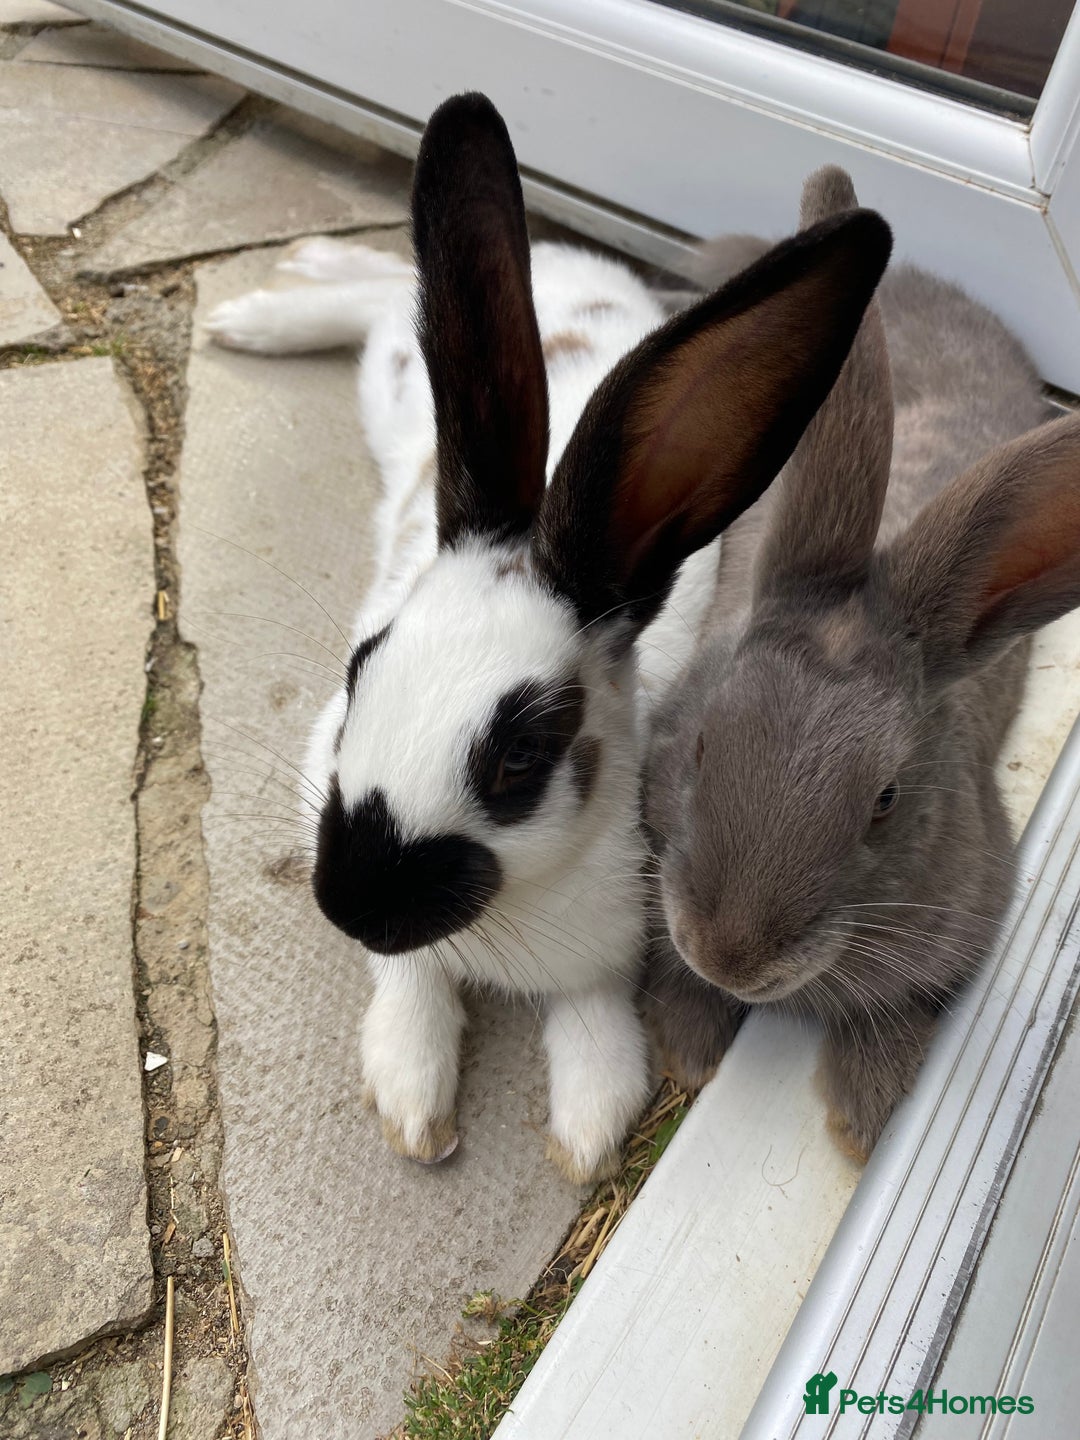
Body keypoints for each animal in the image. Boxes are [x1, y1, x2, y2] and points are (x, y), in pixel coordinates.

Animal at [204, 93, 891, 1183]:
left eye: (521, 756)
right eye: (360, 671)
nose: (350, 903)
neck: (506, 919)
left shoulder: (614, 940)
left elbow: (594, 1020)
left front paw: (590, 1127)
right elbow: (408, 986)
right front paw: (414, 1100)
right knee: (377, 294)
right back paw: (261, 308)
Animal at [643, 163, 1080, 1164]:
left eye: (886, 801)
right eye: (701, 747)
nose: (731, 953)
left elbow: (894, 1016)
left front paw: (871, 1119)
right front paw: (688, 1048)